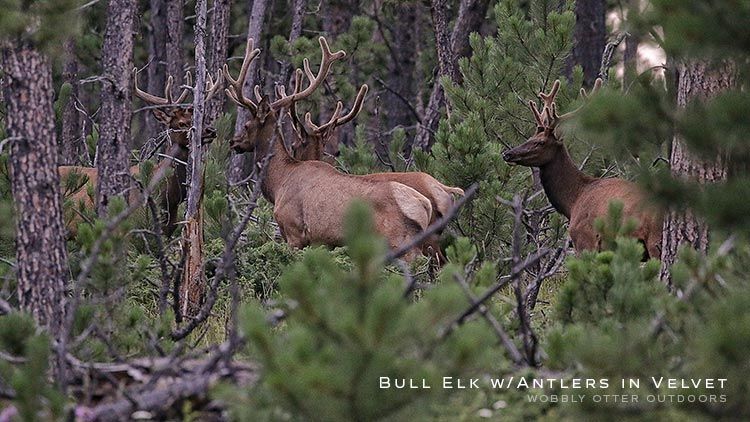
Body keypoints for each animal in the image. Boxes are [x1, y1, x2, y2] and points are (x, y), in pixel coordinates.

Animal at [223, 37, 432, 260]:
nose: (233, 142)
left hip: (399, 242)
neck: (278, 182)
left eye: (247, 125)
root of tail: (424, 206)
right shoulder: (320, 241)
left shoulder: (293, 230)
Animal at [506, 78, 664, 258]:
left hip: (655, 240)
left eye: (540, 142)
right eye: (530, 137)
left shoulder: (584, 239)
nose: (508, 154)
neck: (573, 200)